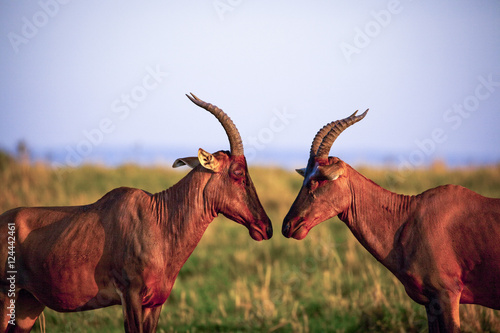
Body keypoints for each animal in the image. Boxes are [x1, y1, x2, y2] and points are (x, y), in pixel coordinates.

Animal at [0, 93, 274, 332]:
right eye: (238, 172)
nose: (266, 227)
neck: (158, 218)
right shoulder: (129, 295)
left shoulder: (155, 303)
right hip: (6, 298)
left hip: (29, 304)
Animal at [284, 111, 498, 332]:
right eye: (305, 177)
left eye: (318, 179)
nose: (288, 225)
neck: (409, 215)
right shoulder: (430, 303)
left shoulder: (448, 295)